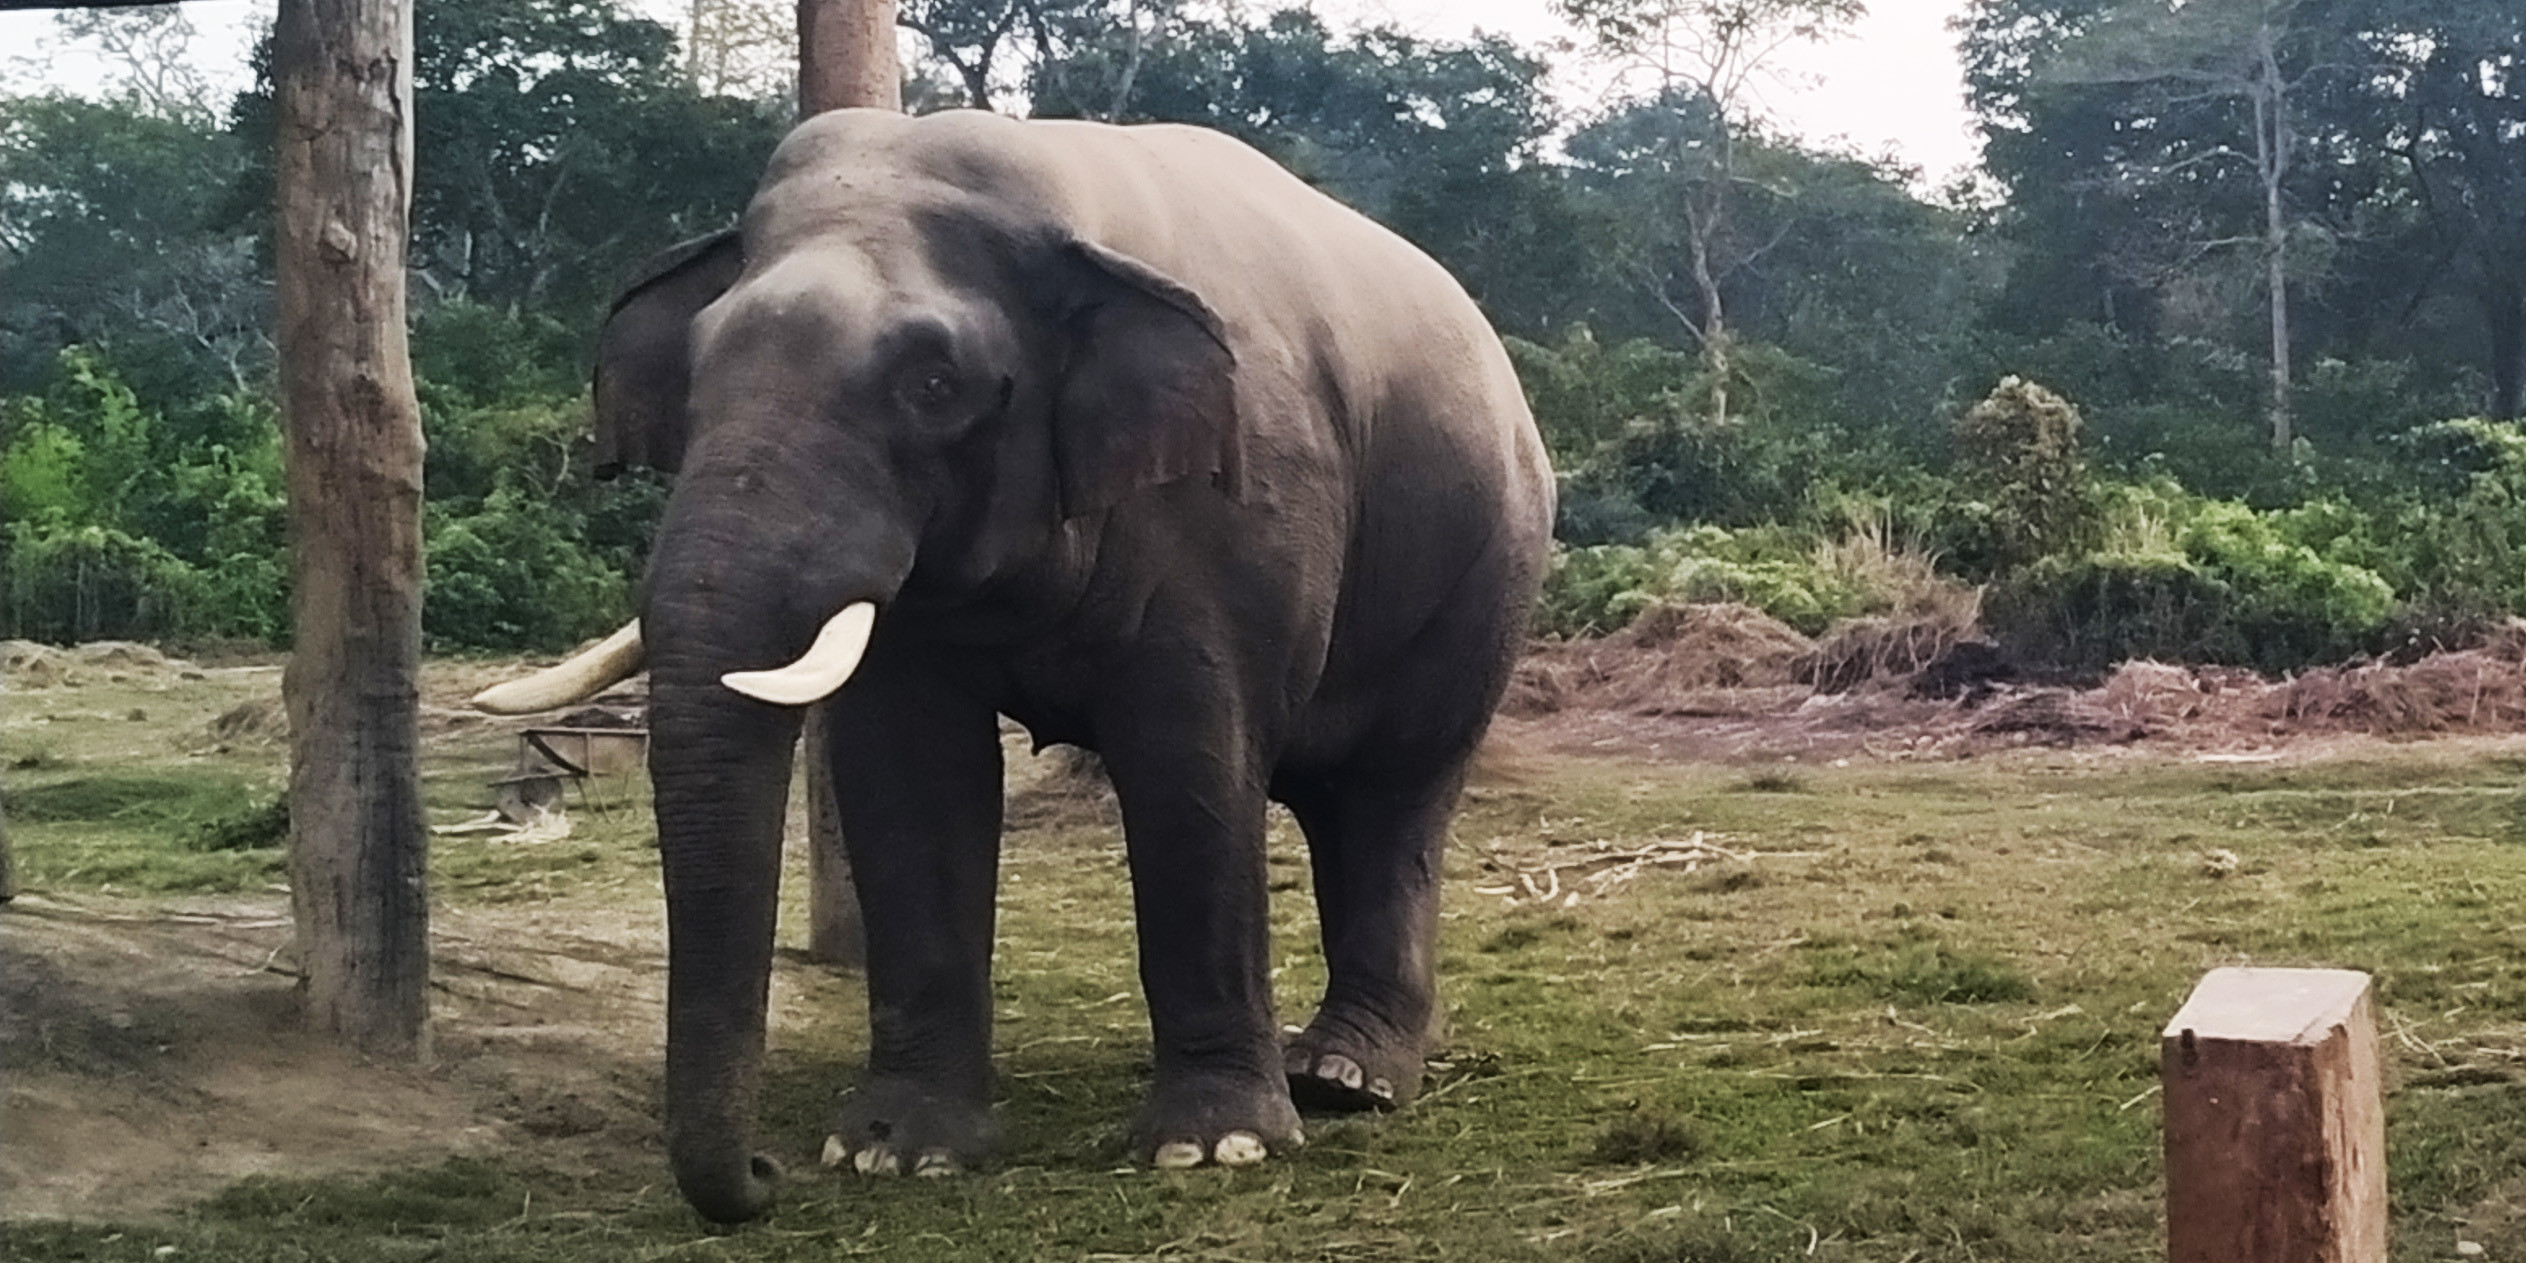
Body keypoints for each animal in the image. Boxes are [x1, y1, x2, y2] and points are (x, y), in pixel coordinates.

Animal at [464, 111, 1545, 1222]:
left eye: (935, 386)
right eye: (692, 378)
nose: (764, 1174)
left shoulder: (1240, 508)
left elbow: (1190, 762)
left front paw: (1213, 1149)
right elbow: (909, 771)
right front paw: (891, 1154)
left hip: (1484, 582)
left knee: (1392, 798)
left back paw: (1345, 1081)